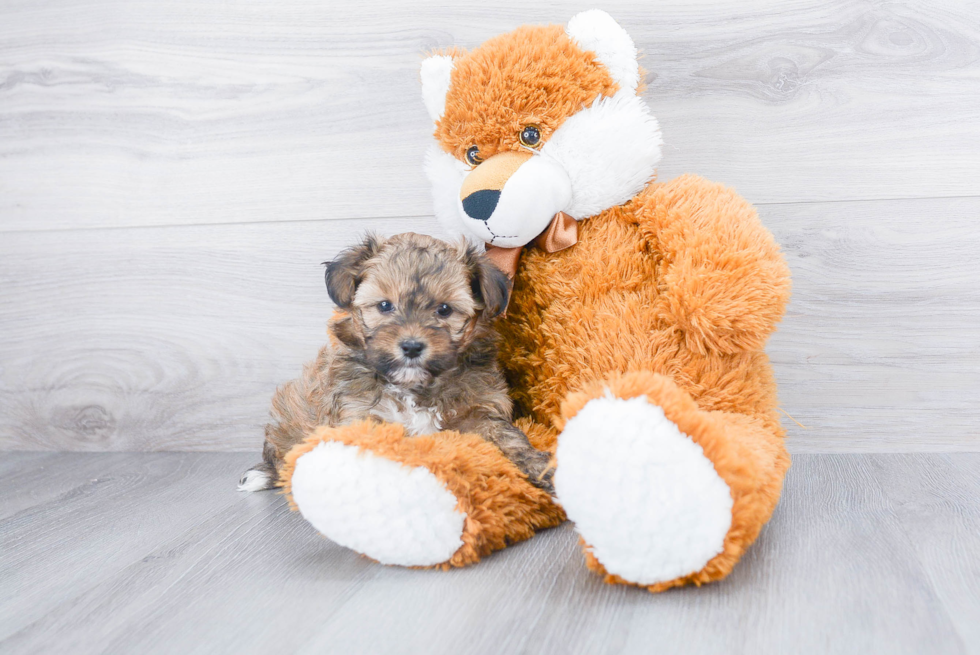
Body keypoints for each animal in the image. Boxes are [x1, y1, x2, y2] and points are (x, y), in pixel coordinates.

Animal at [240, 233, 556, 494]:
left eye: (444, 310)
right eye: (384, 306)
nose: (412, 346)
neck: (414, 386)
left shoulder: (478, 411)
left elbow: (506, 435)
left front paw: (538, 464)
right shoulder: (359, 415)